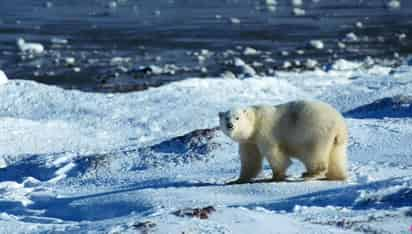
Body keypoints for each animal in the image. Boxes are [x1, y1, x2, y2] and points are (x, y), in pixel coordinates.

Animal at [219, 99, 348, 184]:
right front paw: (238, 179)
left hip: (315, 133)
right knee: (336, 157)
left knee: (313, 154)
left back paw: (309, 174)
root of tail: (339, 124)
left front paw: (276, 176)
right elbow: (250, 159)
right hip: (336, 141)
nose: (230, 125)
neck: (256, 120)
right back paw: (336, 176)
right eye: (226, 118)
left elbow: (275, 154)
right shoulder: (249, 141)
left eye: (237, 118)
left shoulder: (265, 132)